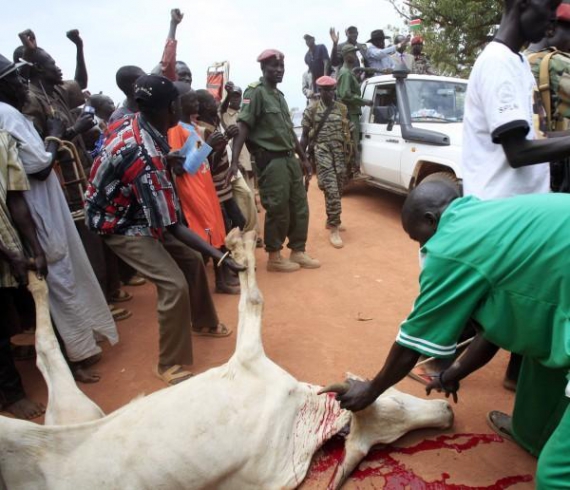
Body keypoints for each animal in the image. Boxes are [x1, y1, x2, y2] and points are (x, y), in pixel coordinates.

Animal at [0, 231, 452, 490]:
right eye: (395, 399)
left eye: (391, 440)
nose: (447, 413)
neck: (300, 412)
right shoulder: (250, 358)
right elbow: (254, 297)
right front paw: (238, 245)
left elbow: (253, 298)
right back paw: (30, 269)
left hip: (72, 411)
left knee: (47, 353)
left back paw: (34, 274)